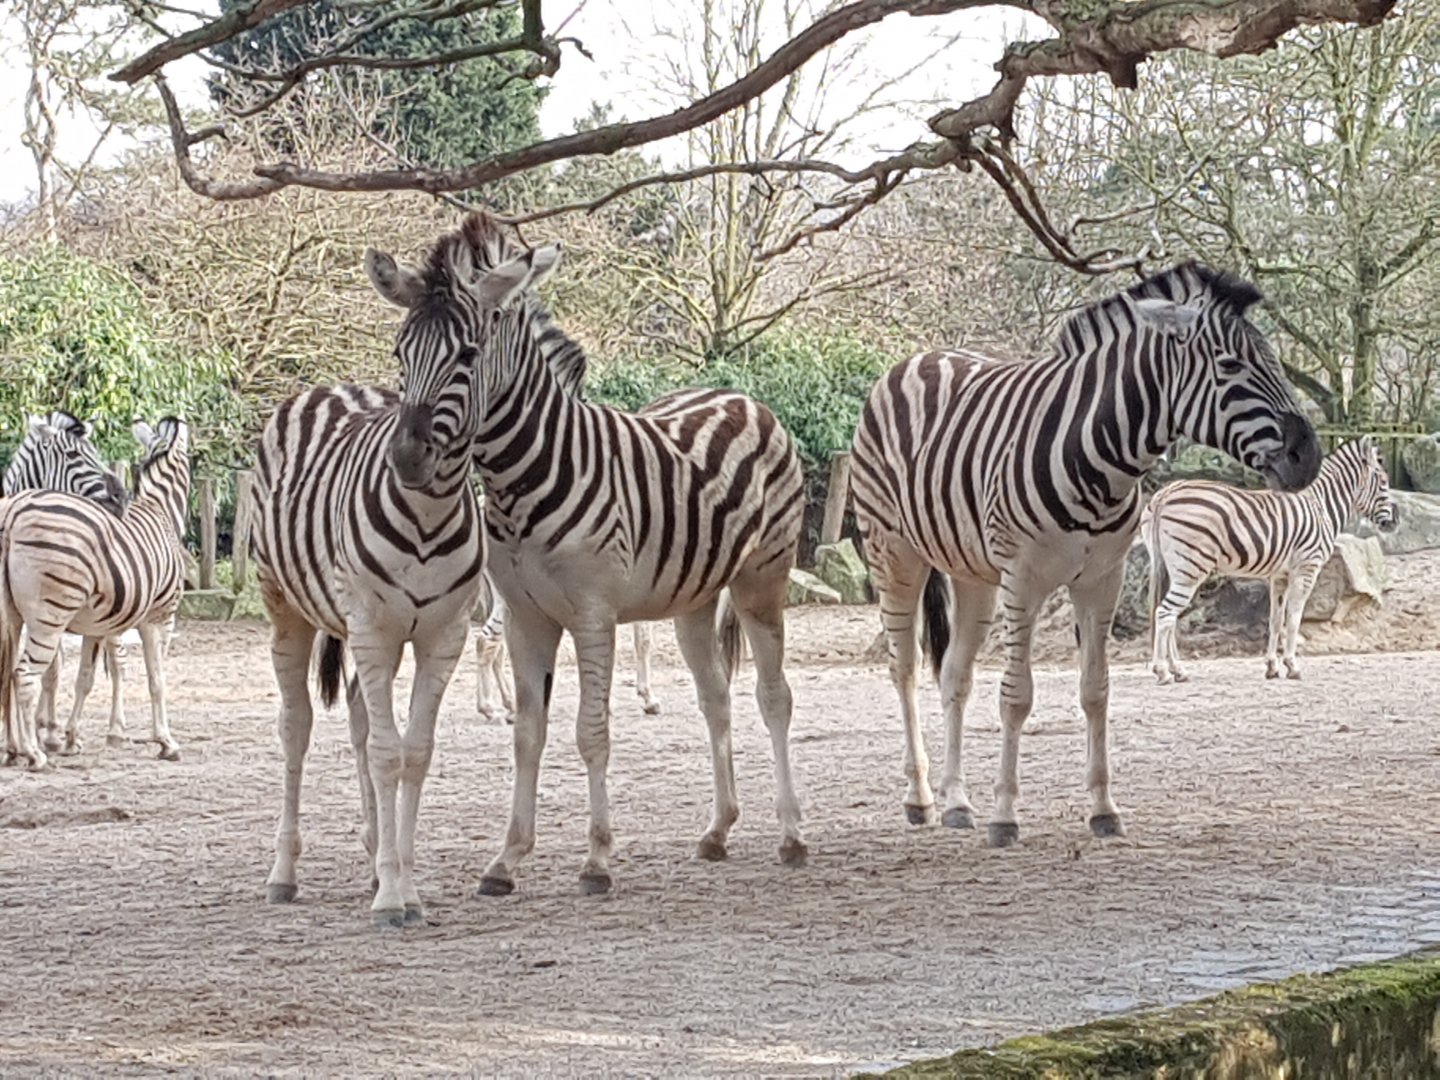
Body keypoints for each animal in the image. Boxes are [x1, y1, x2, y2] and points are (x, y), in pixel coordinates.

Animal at [0, 418, 190, 771]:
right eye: (74, 454)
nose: (120, 497)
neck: (159, 509)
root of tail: (13, 516)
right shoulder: (160, 617)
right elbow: (156, 679)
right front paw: (165, 742)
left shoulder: (97, 625)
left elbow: (86, 677)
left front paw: (71, 737)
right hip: (49, 616)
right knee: (25, 675)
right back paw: (34, 754)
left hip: (15, 618)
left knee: (9, 674)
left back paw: (15, 748)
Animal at [251, 232, 521, 928]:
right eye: (401, 352)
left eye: (469, 354)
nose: (407, 458)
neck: (426, 518)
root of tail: (329, 387)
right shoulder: (374, 628)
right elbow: (386, 751)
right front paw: (392, 897)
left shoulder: (441, 636)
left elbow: (411, 750)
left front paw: (400, 880)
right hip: (286, 607)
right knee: (296, 727)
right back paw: (283, 873)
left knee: (356, 717)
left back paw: (376, 851)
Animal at [367, 211, 807, 896]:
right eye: (400, 353)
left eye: (468, 354)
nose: (408, 459)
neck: (520, 478)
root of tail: (736, 396)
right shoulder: (527, 617)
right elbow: (528, 735)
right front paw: (506, 860)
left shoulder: (595, 617)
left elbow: (591, 732)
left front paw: (597, 859)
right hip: (695, 596)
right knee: (715, 698)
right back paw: (717, 830)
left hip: (763, 580)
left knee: (773, 696)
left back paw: (790, 834)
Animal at [850, 263, 1321, 846]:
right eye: (1231, 364)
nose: (1309, 455)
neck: (1101, 459)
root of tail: (918, 358)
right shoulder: (1023, 579)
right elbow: (1017, 696)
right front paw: (1006, 815)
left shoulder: (1102, 579)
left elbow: (1096, 691)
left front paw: (1103, 809)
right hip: (893, 552)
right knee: (905, 669)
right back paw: (920, 799)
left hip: (972, 574)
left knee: (955, 674)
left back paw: (957, 801)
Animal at [1144, 436, 1396, 685]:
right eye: (1383, 481)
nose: (1393, 522)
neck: (1320, 505)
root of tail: (1166, 492)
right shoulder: (1307, 567)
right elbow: (1294, 618)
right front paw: (1292, 666)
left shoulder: (1280, 575)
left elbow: (1275, 619)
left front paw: (1272, 667)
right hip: (1190, 568)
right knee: (1165, 614)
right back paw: (1163, 671)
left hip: (1172, 568)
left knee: (1168, 616)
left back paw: (1178, 671)